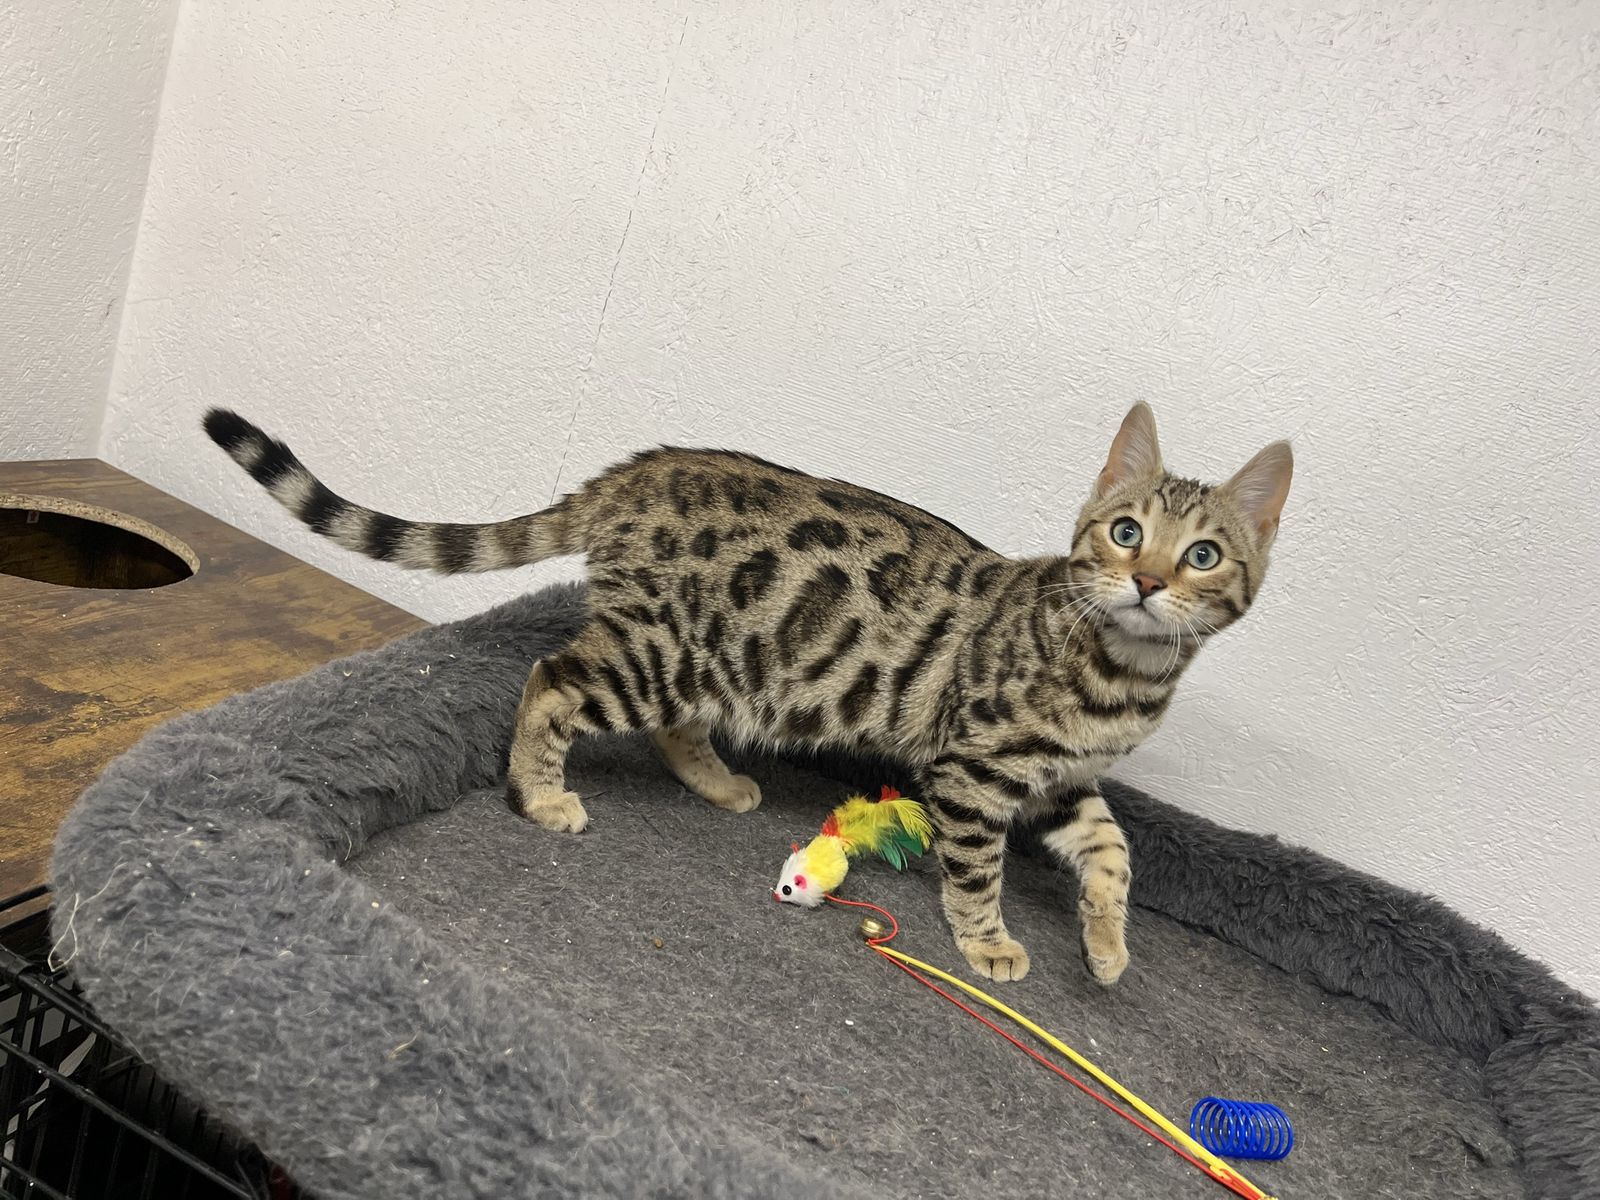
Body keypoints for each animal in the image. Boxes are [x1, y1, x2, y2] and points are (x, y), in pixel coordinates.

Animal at [204, 403, 1291, 985]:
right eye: (1122, 532)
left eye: (1201, 556)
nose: (1146, 581)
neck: (1125, 673)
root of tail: (637, 471)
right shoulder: (976, 773)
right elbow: (977, 870)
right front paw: (988, 941)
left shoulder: (1060, 782)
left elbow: (1115, 853)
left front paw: (1105, 947)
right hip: (663, 649)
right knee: (553, 678)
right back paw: (542, 793)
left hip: (720, 657)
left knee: (670, 722)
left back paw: (718, 782)